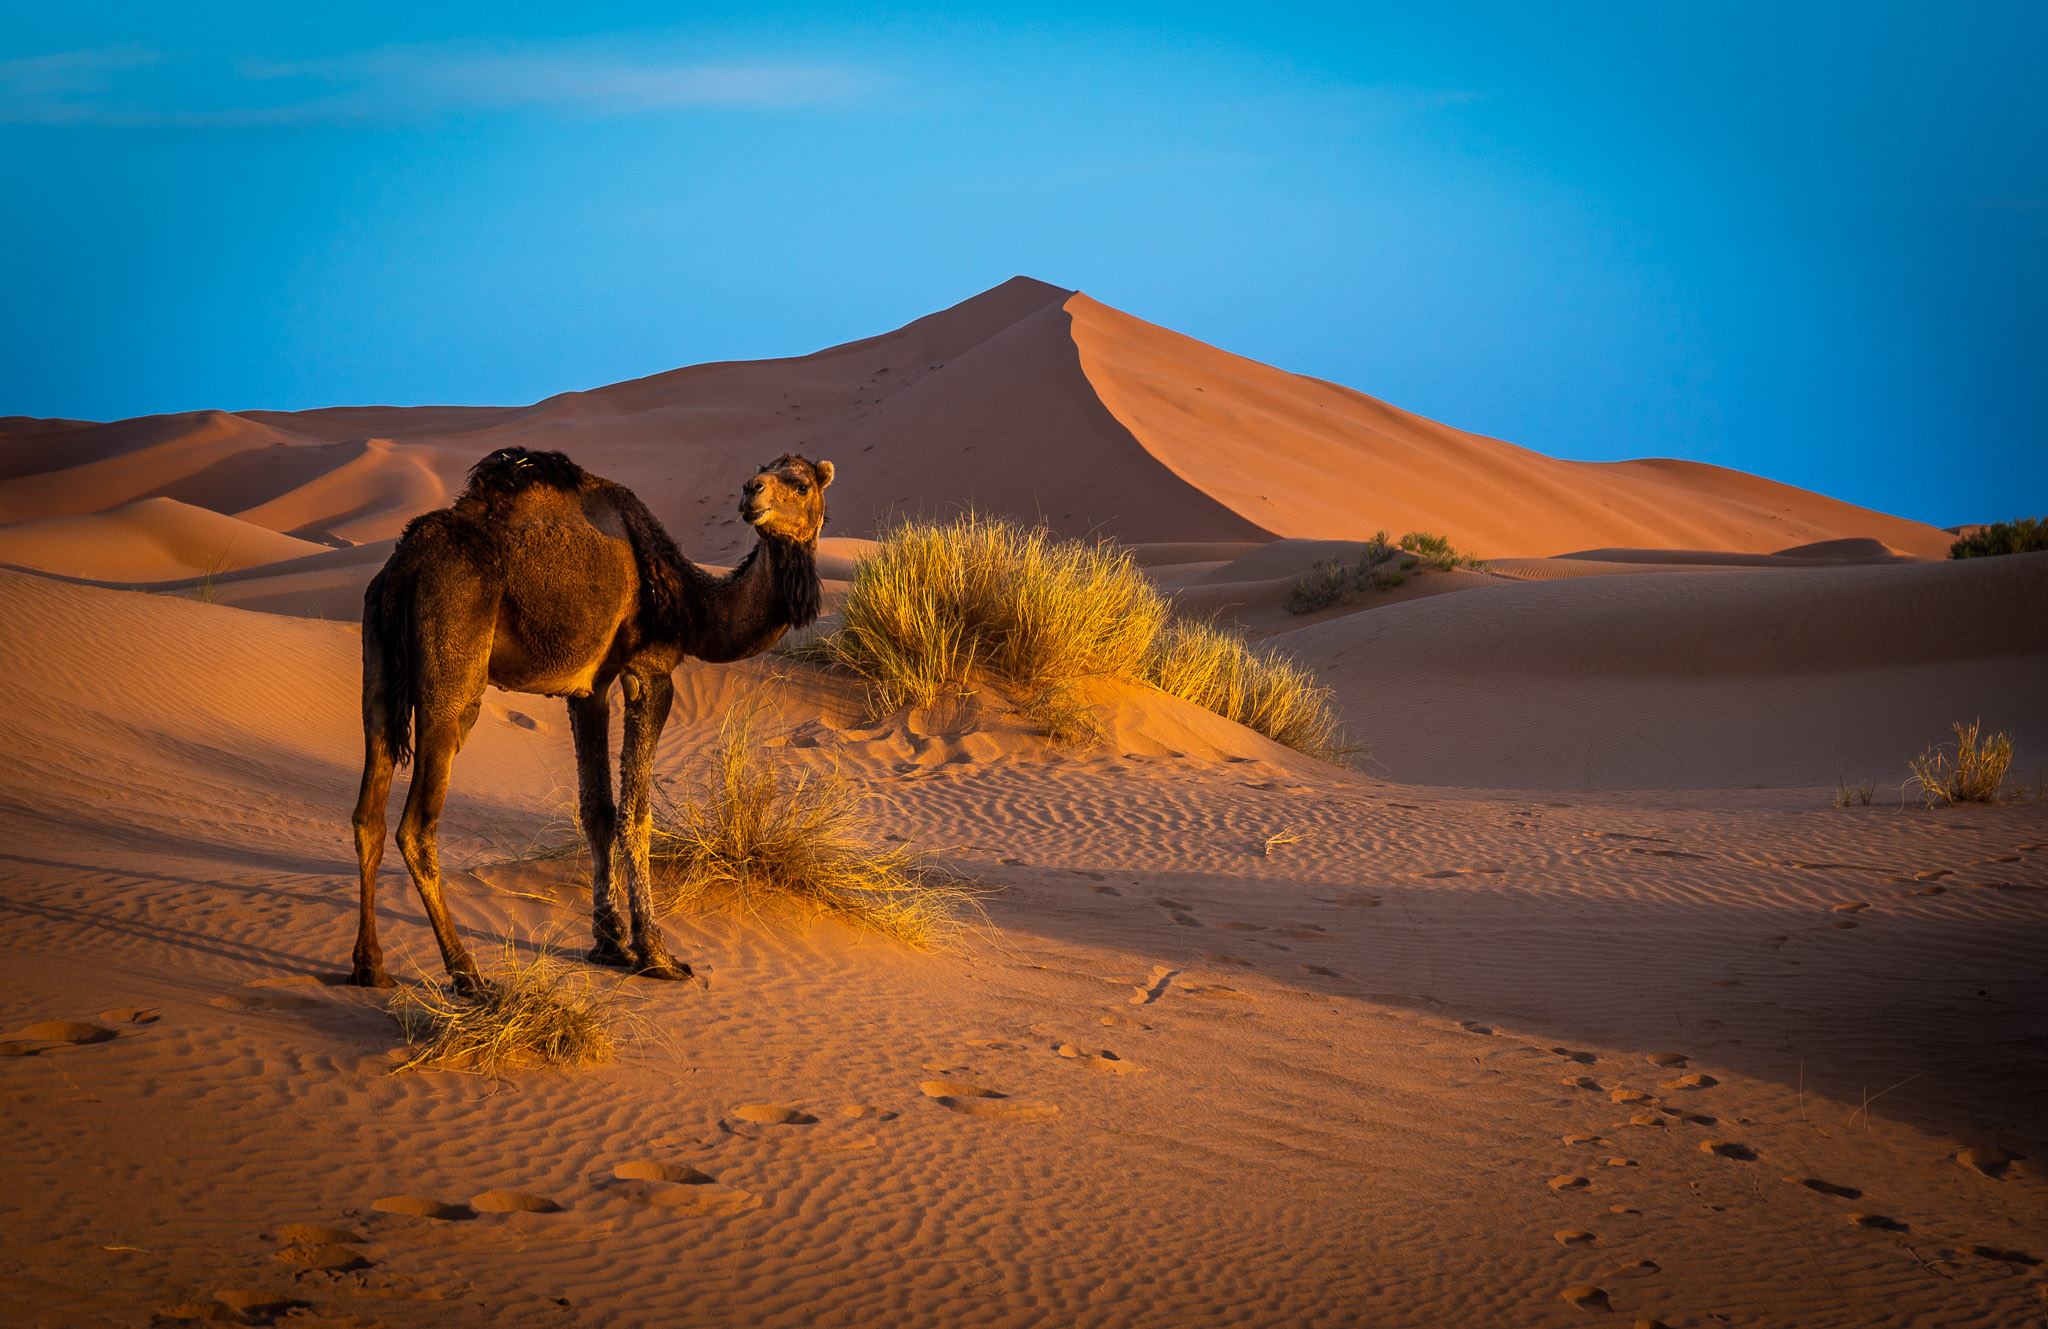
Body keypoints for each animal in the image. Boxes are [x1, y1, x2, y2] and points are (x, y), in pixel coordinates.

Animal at [352, 450, 831, 991]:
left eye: (801, 484)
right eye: (770, 476)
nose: (752, 491)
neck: (689, 602)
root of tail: (404, 568)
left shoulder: (589, 689)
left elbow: (598, 810)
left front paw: (609, 941)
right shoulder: (650, 671)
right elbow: (636, 815)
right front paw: (656, 953)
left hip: (377, 665)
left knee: (368, 812)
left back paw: (370, 965)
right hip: (453, 670)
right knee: (415, 825)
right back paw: (467, 972)